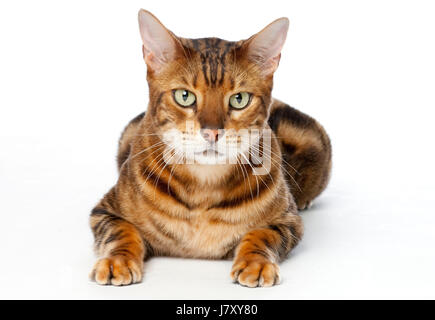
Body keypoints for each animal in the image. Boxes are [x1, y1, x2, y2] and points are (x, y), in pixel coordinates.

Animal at [90, 10, 332, 288]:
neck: (203, 189)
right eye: (184, 96)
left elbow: (261, 234)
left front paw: (256, 263)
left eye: (239, 99)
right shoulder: (105, 210)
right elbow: (122, 231)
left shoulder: (287, 220)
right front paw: (116, 260)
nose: (212, 132)